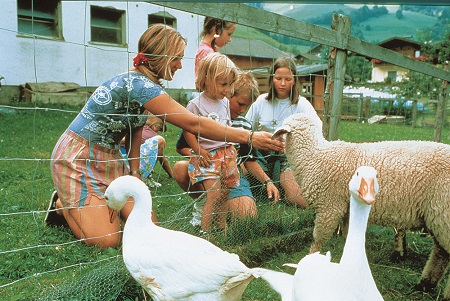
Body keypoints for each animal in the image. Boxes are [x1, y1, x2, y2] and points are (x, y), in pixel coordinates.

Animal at [272, 112, 450, 298]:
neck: (314, 157)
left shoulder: (329, 207)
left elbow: (318, 239)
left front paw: (309, 261)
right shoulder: (348, 210)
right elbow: (348, 237)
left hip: (444, 212)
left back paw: (442, 292)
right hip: (437, 217)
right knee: (441, 253)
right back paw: (425, 284)